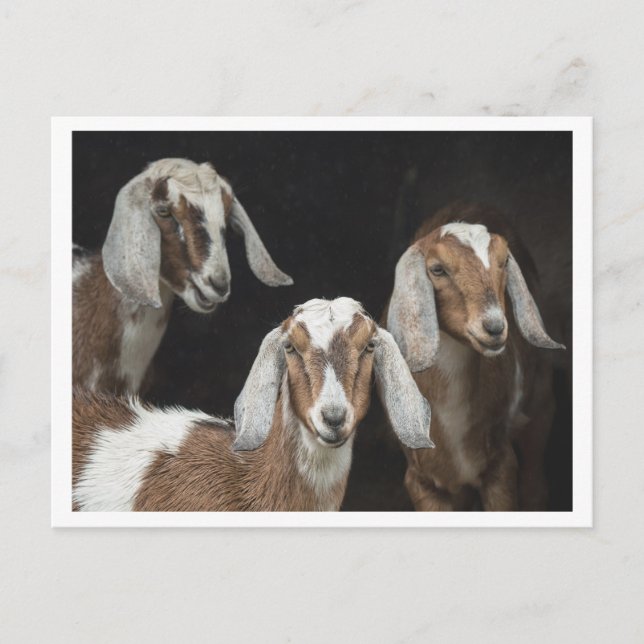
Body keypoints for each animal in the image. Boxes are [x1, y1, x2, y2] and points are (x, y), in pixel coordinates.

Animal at [386, 202, 564, 511]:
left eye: (503, 261)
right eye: (437, 269)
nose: (494, 327)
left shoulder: (500, 465)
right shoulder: (421, 480)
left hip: (541, 399)